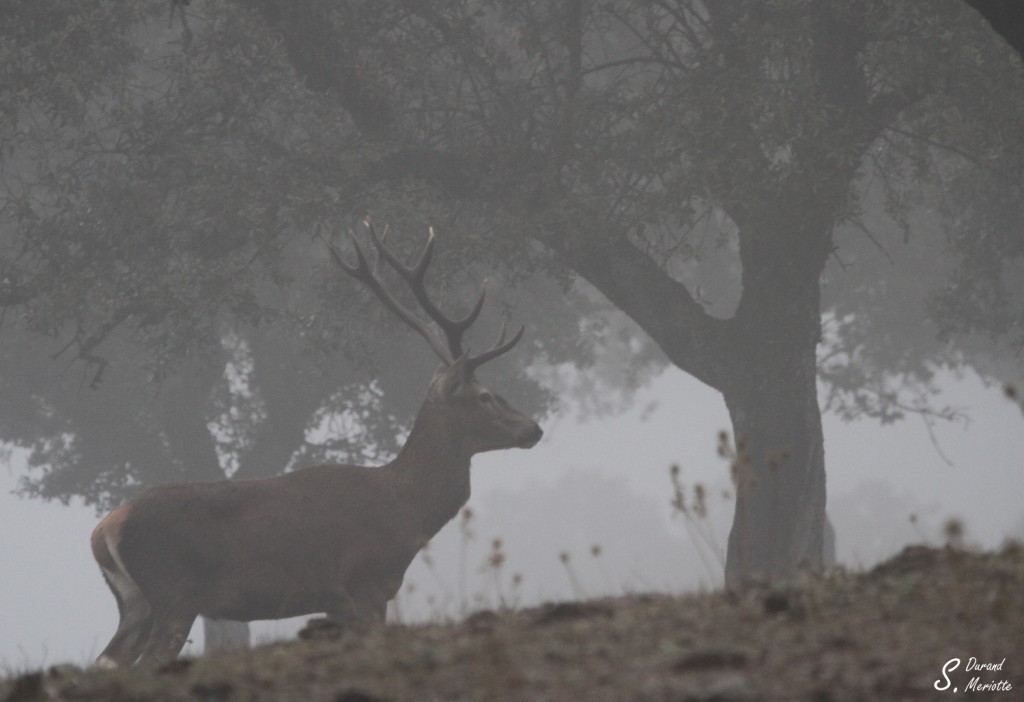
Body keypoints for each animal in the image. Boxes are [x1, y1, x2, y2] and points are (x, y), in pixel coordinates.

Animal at [89, 222, 543, 667]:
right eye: (485, 396)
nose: (534, 429)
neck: (405, 511)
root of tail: (104, 529)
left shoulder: (334, 600)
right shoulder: (365, 581)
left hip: (135, 604)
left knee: (106, 663)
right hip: (174, 591)